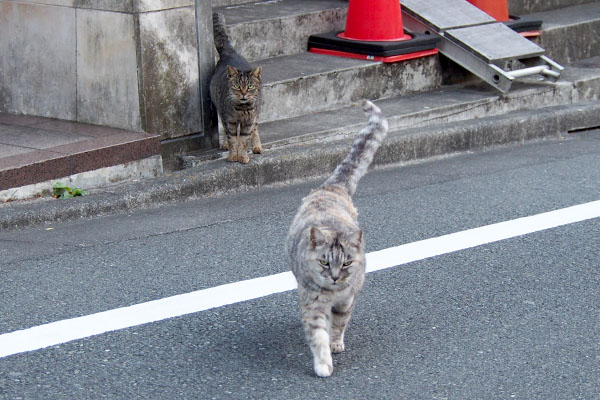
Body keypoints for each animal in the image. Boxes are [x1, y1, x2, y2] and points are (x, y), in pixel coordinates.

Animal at [210, 13, 262, 164]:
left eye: (250, 86)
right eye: (237, 86)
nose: (243, 94)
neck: (242, 109)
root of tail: (230, 51)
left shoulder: (248, 122)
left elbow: (244, 140)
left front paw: (243, 156)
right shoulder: (229, 121)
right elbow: (232, 139)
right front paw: (233, 156)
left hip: (256, 115)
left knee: (255, 129)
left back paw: (257, 147)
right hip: (220, 110)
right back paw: (225, 144)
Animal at [286, 98, 390, 376]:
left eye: (346, 263)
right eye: (324, 262)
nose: (334, 277)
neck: (332, 294)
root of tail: (333, 187)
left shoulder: (346, 301)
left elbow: (338, 325)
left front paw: (335, 343)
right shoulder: (313, 305)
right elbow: (318, 335)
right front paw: (323, 363)